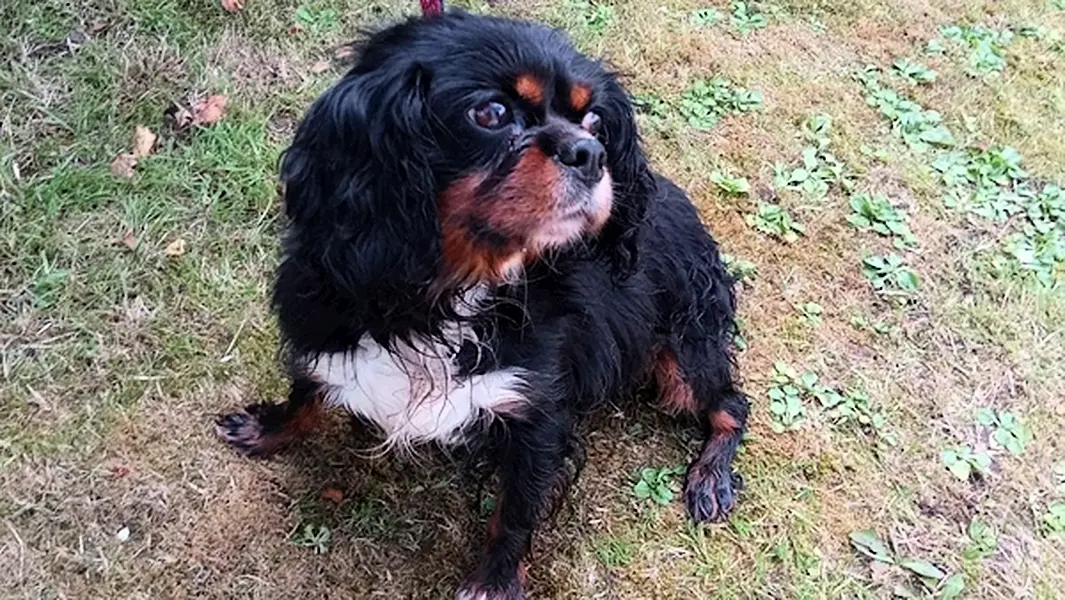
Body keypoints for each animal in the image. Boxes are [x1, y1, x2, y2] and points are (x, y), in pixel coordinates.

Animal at [214, 9, 749, 600]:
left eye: (594, 121)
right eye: (490, 113)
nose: (592, 154)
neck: (451, 293)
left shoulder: (538, 411)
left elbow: (513, 511)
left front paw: (494, 581)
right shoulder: (322, 323)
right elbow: (307, 391)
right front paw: (266, 428)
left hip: (684, 350)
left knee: (731, 405)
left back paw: (710, 480)